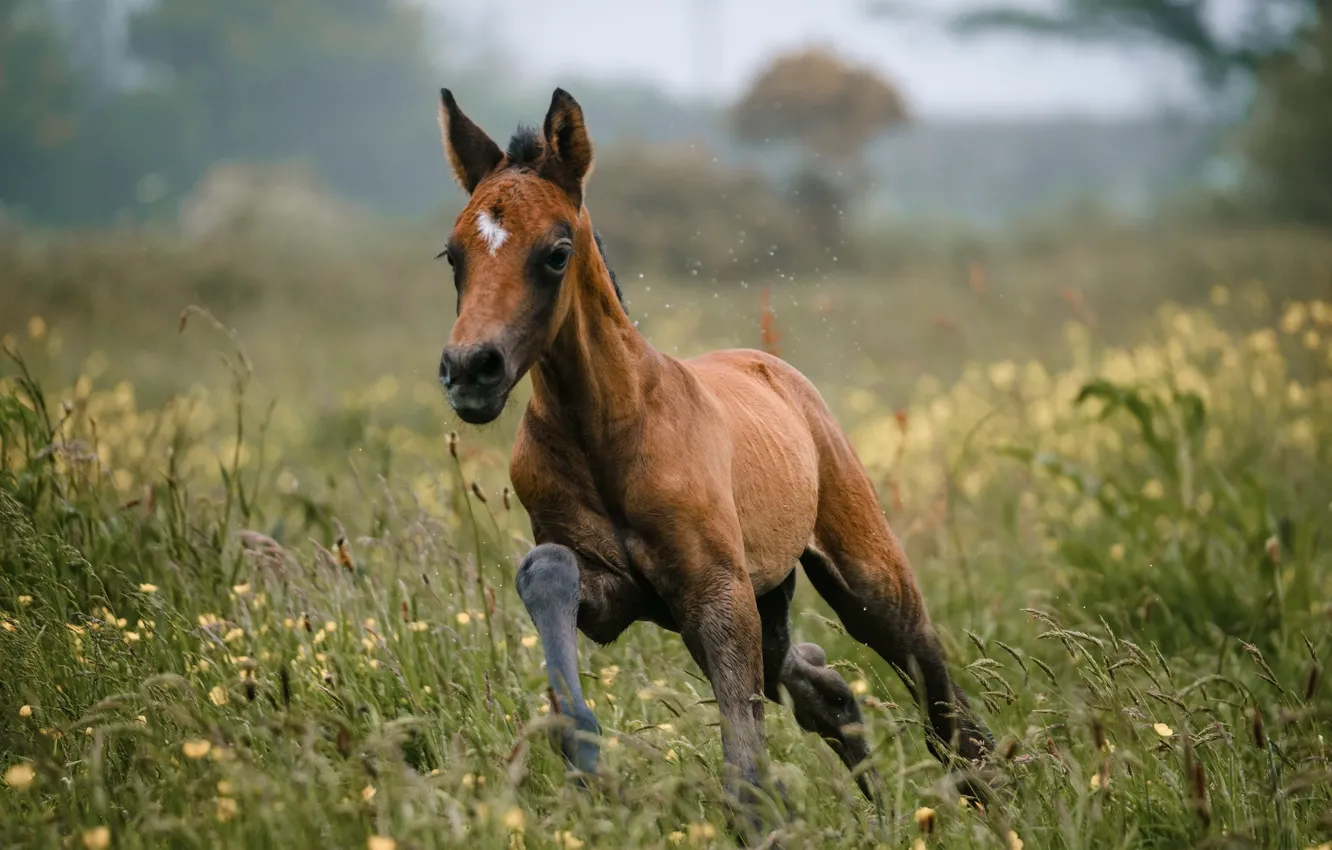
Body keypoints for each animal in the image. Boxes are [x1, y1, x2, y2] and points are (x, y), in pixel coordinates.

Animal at [431, 87, 996, 842]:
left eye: (556, 252)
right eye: (454, 255)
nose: (471, 370)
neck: (608, 431)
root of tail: (773, 367)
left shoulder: (716, 594)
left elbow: (746, 769)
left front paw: (760, 816)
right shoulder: (623, 596)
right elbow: (546, 574)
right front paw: (585, 757)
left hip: (861, 574)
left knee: (931, 688)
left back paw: (988, 797)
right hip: (763, 600)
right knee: (823, 686)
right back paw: (884, 812)